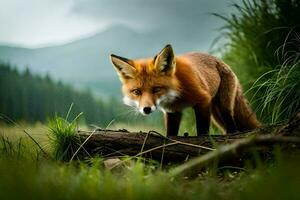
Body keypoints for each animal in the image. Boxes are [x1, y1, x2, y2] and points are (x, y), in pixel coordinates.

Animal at [110, 44, 260, 135]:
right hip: (216, 115)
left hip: (223, 107)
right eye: (137, 92)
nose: (146, 109)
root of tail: (222, 61)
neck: (176, 96)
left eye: (156, 89)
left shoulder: (203, 101)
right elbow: (170, 136)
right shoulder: (172, 112)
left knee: (232, 125)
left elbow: (202, 132)